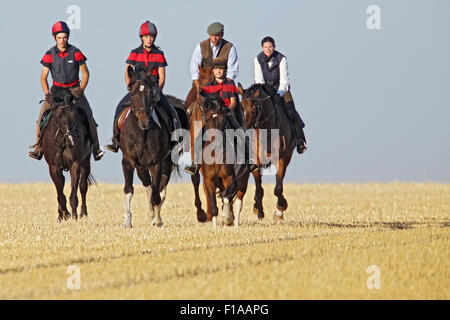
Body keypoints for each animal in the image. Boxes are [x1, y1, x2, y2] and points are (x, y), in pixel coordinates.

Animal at [40, 86, 93, 221]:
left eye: (74, 115)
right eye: (57, 117)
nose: (71, 141)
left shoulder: (75, 164)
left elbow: (74, 194)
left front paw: (73, 217)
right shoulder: (54, 167)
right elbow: (60, 193)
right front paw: (64, 214)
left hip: (86, 162)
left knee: (83, 186)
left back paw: (83, 214)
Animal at [119, 65, 183, 228]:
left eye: (150, 92)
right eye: (132, 92)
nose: (145, 122)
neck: (142, 133)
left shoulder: (157, 163)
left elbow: (157, 192)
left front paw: (157, 219)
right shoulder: (128, 161)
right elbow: (129, 189)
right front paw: (127, 221)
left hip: (167, 162)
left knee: (160, 189)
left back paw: (155, 217)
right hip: (141, 165)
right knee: (148, 185)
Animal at [237, 84, 298, 221]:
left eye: (254, 109)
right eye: (240, 106)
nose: (243, 130)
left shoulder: (282, 159)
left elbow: (278, 188)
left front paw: (280, 208)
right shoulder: (255, 161)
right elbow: (259, 188)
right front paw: (258, 209)